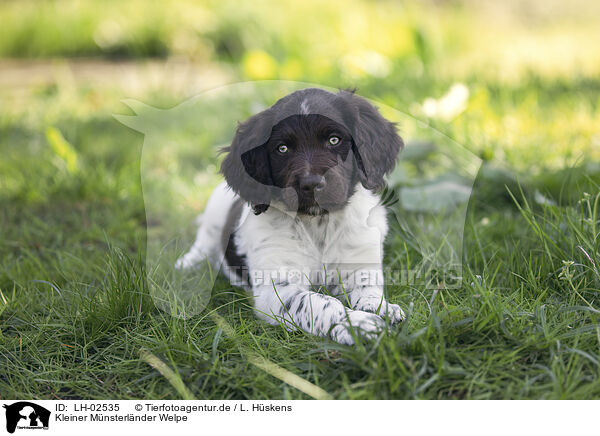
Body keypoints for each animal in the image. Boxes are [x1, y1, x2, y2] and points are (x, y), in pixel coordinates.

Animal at [176, 87, 406, 344]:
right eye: (282, 149)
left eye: (334, 140)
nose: (312, 183)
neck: (319, 223)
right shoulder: (276, 289)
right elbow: (320, 302)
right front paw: (359, 325)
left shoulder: (360, 262)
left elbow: (368, 288)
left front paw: (381, 308)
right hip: (214, 211)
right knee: (204, 243)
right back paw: (186, 265)